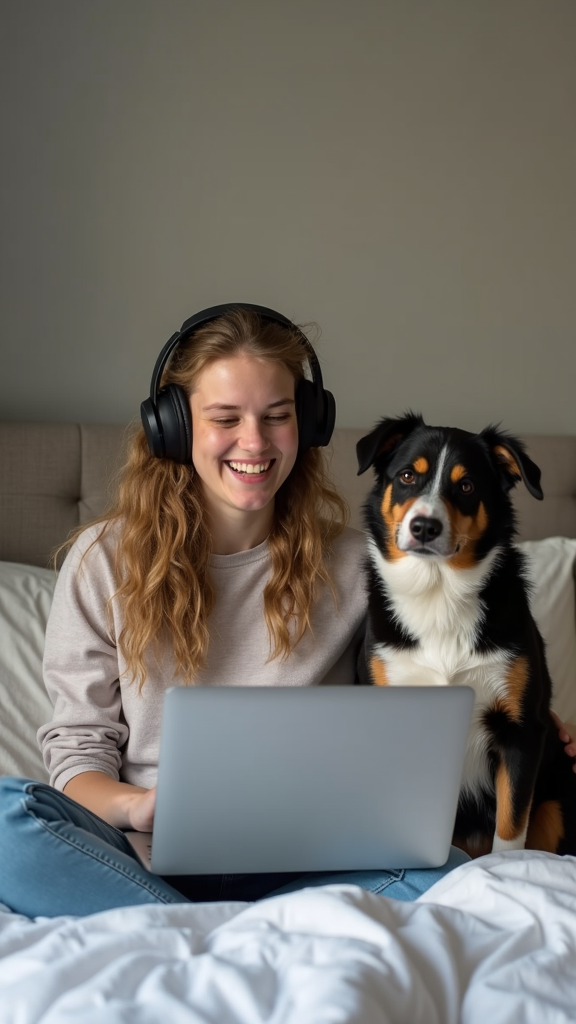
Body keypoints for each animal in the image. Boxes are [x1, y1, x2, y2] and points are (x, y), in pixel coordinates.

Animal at [354, 411, 573, 860]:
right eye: (407, 475)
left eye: (467, 485)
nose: (424, 526)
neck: (439, 594)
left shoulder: (521, 730)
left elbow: (510, 827)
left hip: (555, 802)